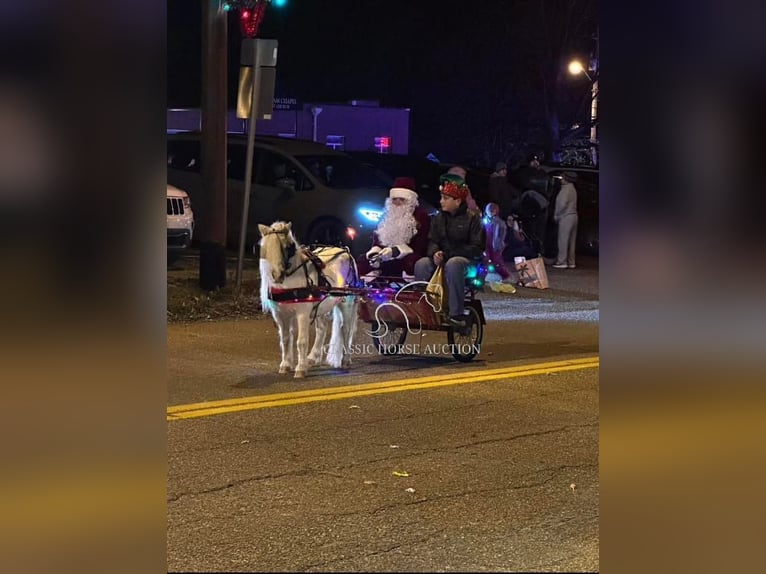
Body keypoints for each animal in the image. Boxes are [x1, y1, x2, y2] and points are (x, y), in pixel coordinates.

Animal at [260, 220, 362, 378]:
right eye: (265, 248)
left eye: (287, 247)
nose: (277, 275)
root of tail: (346, 252)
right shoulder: (280, 314)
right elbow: (285, 339)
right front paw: (285, 365)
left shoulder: (302, 313)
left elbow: (301, 341)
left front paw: (300, 368)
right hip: (322, 306)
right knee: (322, 328)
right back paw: (313, 358)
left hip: (347, 303)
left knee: (345, 330)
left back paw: (345, 360)